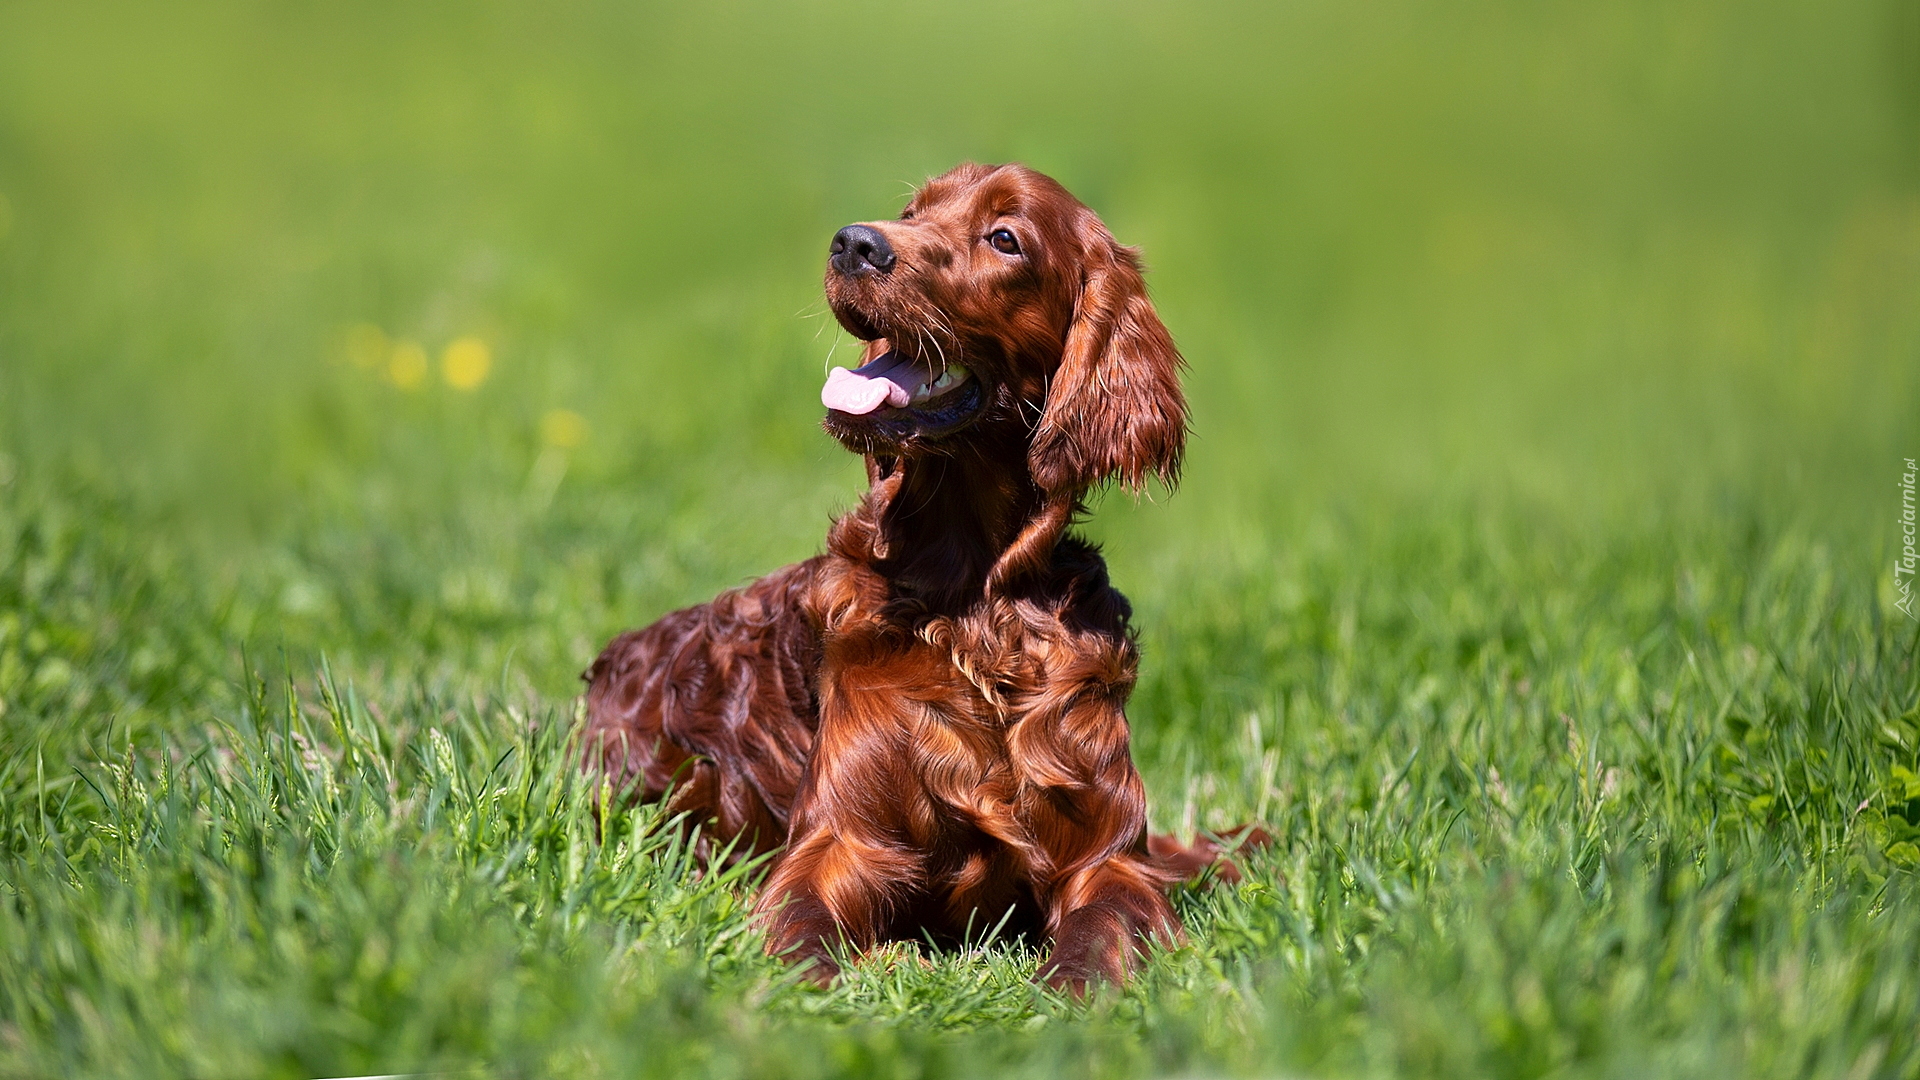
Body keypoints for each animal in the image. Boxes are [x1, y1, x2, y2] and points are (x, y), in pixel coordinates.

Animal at [576, 164, 1251, 991]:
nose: (853, 244)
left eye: (1005, 238)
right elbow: (797, 931)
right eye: (913, 210)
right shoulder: (840, 842)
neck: (973, 602)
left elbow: (1102, 928)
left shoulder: (1107, 859)